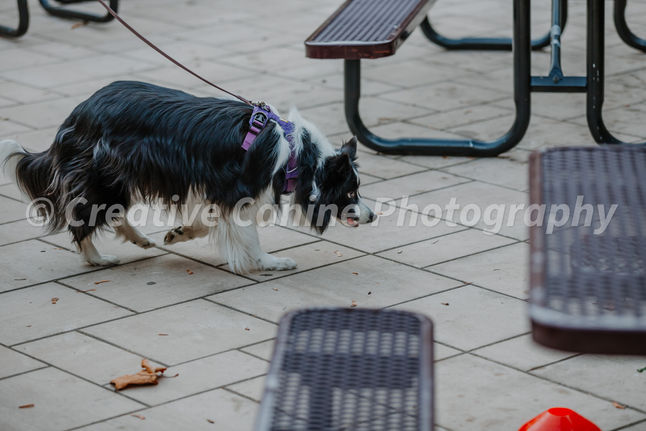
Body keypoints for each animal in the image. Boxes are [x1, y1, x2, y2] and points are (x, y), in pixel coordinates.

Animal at [1, 81, 375, 273]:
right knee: (83, 218)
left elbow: (206, 223)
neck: (297, 155)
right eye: (351, 193)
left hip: (119, 176)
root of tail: (77, 115)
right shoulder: (236, 194)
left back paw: (140, 240)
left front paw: (178, 233)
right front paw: (269, 262)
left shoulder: (213, 190)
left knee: (110, 213)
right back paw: (97, 258)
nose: (373, 215)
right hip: (102, 175)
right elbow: (248, 237)